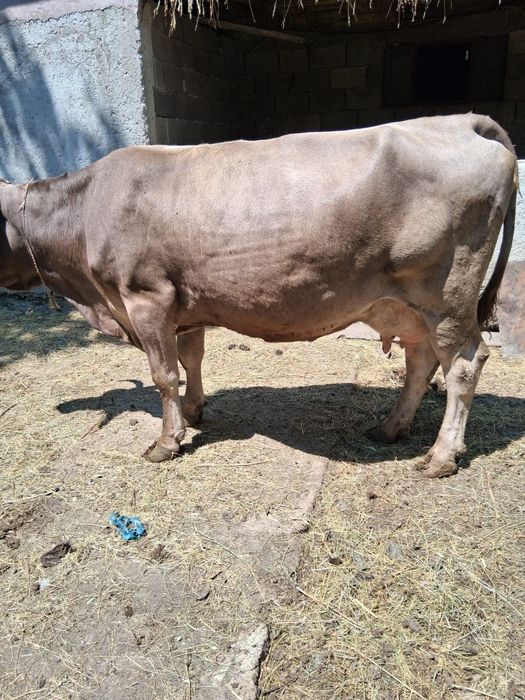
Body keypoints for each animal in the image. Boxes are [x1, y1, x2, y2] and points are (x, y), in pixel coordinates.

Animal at [0, 114, 518, 477]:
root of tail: (462, 120)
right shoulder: (184, 305)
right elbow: (191, 359)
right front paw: (195, 410)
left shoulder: (146, 297)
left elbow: (164, 374)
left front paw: (167, 441)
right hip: (407, 304)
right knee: (420, 361)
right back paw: (391, 427)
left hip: (446, 295)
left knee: (463, 365)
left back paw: (441, 455)